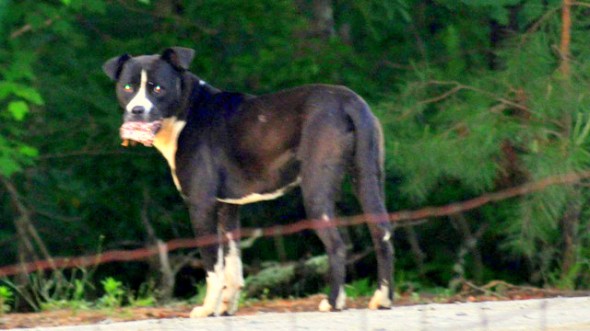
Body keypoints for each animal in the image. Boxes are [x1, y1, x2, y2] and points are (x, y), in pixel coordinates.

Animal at [104, 47, 396, 320]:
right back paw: (382, 299)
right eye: (128, 87)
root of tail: (349, 101)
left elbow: (213, 265)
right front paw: (226, 308)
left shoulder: (201, 205)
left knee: (337, 245)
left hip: (316, 189)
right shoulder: (228, 207)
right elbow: (233, 264)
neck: (186, 110)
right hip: (367, 178)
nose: (137, 111)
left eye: (158, 88)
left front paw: (206, 309)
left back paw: (333, 302)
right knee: (382, 234)